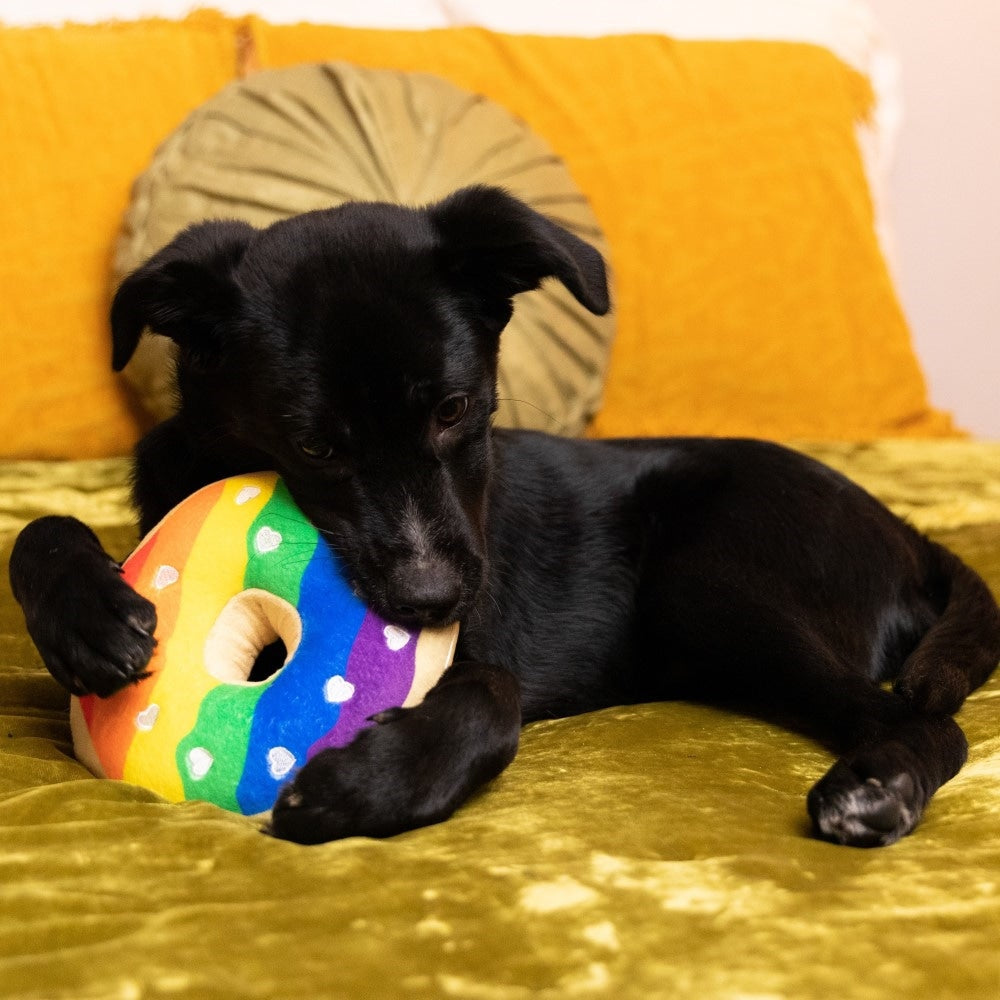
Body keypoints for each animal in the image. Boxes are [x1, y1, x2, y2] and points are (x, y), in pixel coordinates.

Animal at [9, 186, 1000, 844]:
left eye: (456, 410)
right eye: (315, 447)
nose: (434, 601)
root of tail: (910, 536)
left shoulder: (476, 642)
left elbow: (494, 695)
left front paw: (370, 785)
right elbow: (40, 529)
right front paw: (88, 616)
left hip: (713, 580)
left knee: (929, 722)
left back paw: (876, 792)